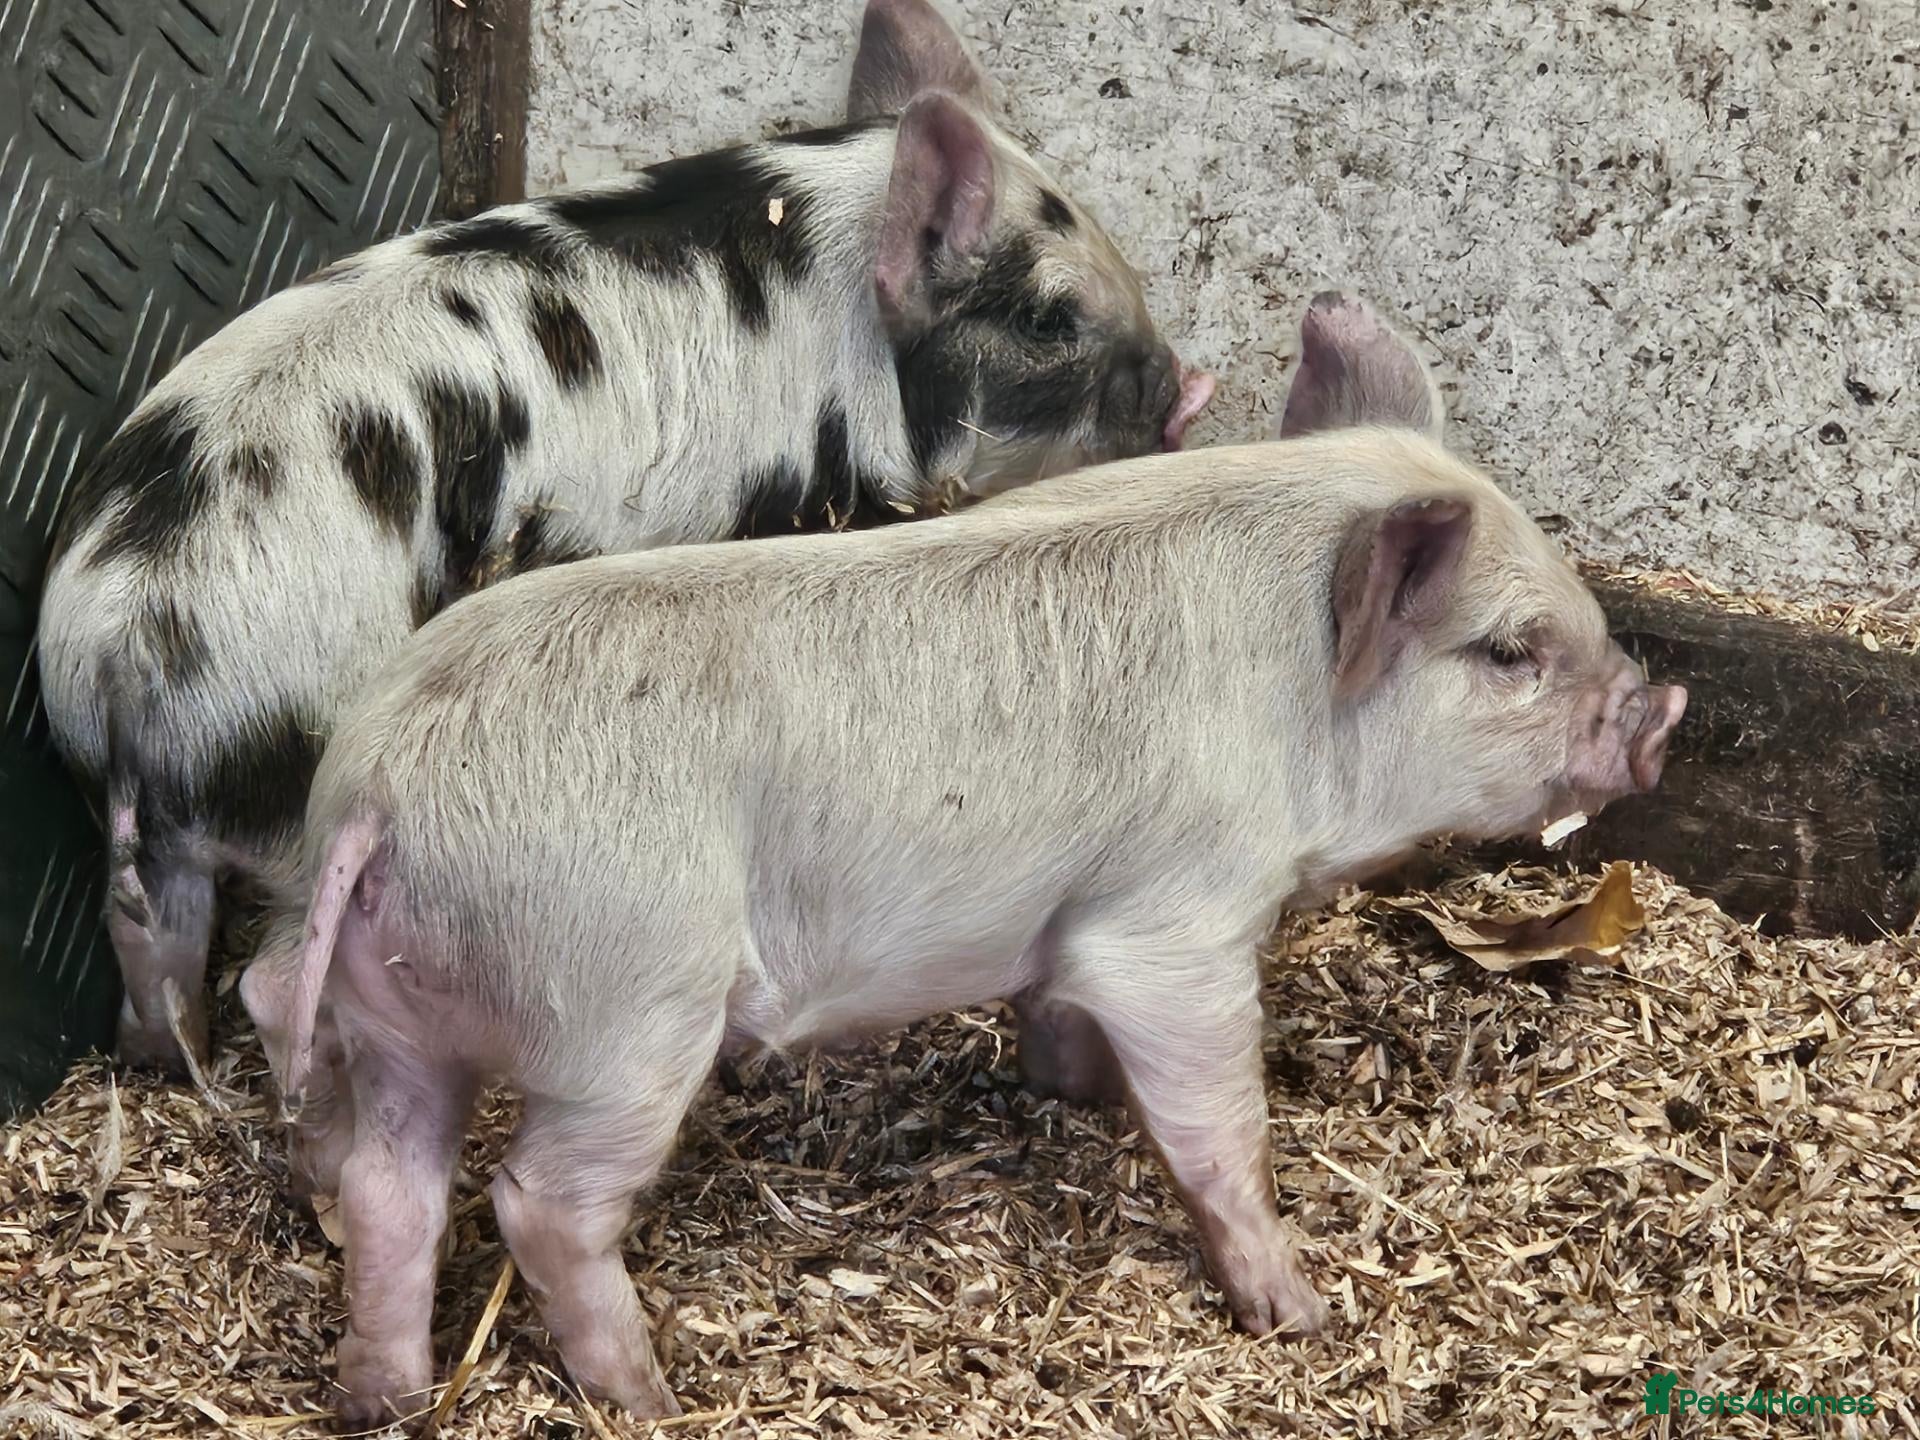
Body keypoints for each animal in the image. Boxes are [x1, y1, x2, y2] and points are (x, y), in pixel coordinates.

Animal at [33, 0, 1214, 1076]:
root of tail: (129, 649)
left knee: (155, 947)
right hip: (299, 779)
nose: (1186, 391)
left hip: (154, 834)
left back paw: (163, 1057)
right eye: (1048, 319)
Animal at [240, 289, 1684, 1424]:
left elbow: (1058, 1009)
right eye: (1509, 651)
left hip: (398, 1015)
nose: (1663, 710)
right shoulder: (1177, 920)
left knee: (389, 1187)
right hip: (620, 1009)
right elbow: (1221, 1123)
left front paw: (1072, 1093)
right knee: (537, 1201)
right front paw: (1299, 1311)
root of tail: (376, 793)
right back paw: (651, 1397)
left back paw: (381, 1398)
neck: (1292, 699)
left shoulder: (1069, 922)